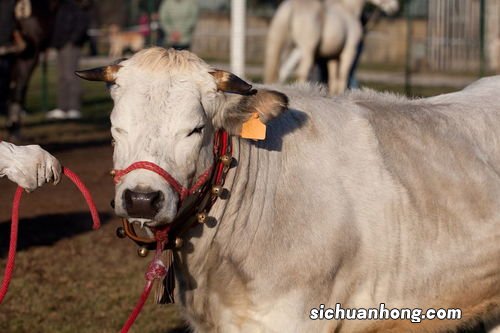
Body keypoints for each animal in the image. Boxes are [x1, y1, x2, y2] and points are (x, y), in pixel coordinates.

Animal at [266, 0, 398, 94]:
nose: (395, 6)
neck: (348, 10)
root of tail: (291, 6)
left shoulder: (332, 57)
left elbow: (333, 79)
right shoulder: (348, 52)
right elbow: (343, 76)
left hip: (290, 48)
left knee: (282, 71)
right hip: (306, 51)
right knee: (302, 72)